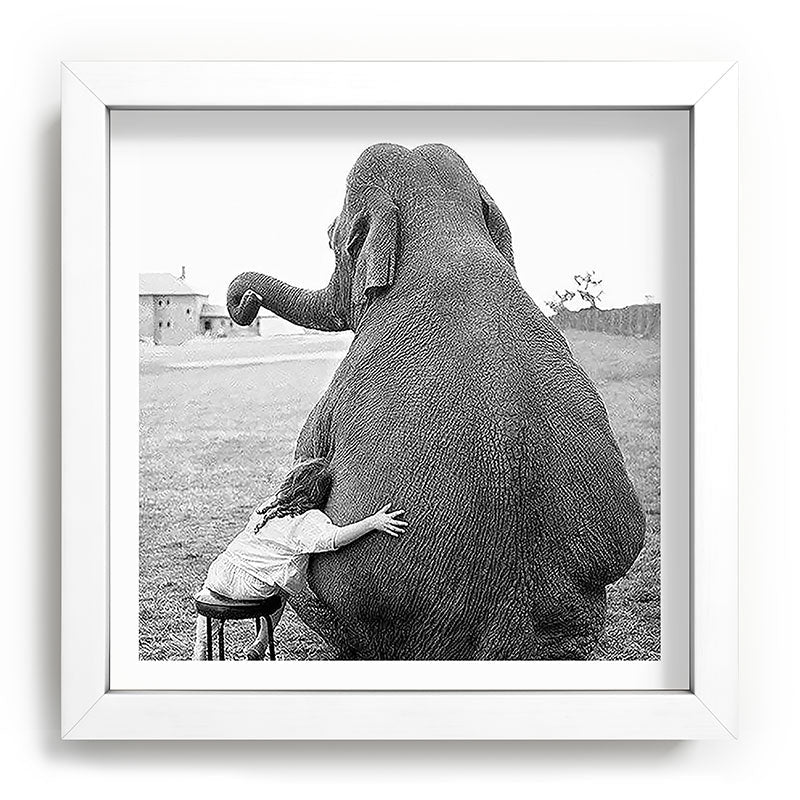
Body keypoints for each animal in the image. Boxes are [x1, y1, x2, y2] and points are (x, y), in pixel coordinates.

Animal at [226, 143, 645, 660]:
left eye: (330, 237)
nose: (244, 302)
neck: (446, 232)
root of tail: (508, 636)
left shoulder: (335, 393)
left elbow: (306, 463)